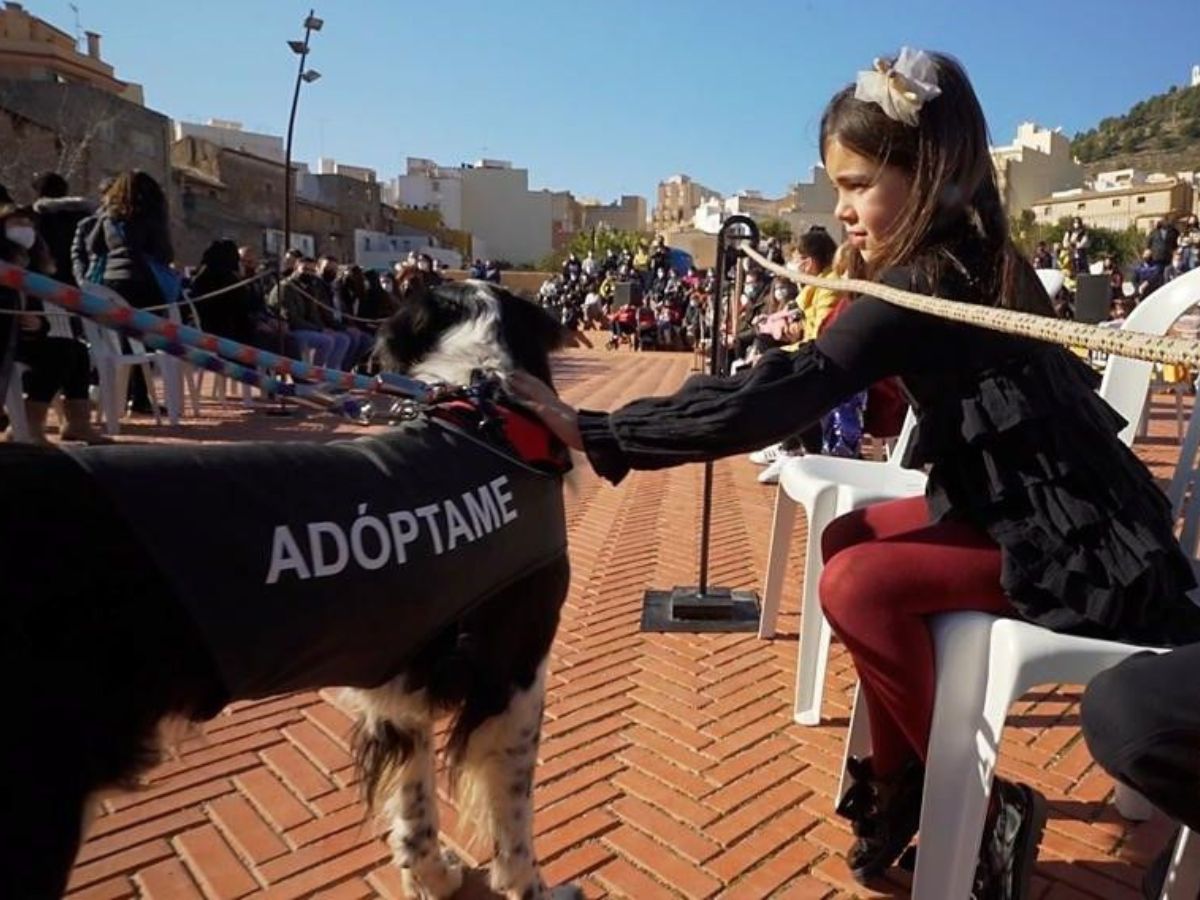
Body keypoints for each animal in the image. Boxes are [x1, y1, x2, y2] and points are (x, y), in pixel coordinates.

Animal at [0, 278, 580, 897]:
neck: (482, 419)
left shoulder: (399, 687)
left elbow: (414, 801)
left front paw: (431, 875)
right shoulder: (515, 677)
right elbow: (514, 817)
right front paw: (533, 887)